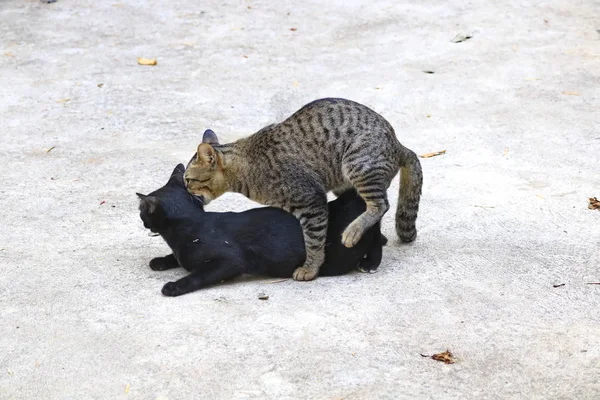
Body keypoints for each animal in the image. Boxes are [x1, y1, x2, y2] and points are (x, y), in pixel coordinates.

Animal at [138, 163, 386, 296]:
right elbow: (176, 258)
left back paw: (370, 263)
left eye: (141, 211)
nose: (141, 219)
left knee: (375, 239)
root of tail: (349, 199)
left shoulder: (230, 261)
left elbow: (198, 275)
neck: (192, 223)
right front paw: (160, 261)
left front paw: (174, 286)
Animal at [184, 97, 422, 282]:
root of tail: (399, 144)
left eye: (188, 180)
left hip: (357, 164)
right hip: (346, 183)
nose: (186, 191)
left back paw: (353, 231)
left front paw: (310, 268)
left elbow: (314, 241)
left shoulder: (311, 201)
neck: (247, 167)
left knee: (380, 205)